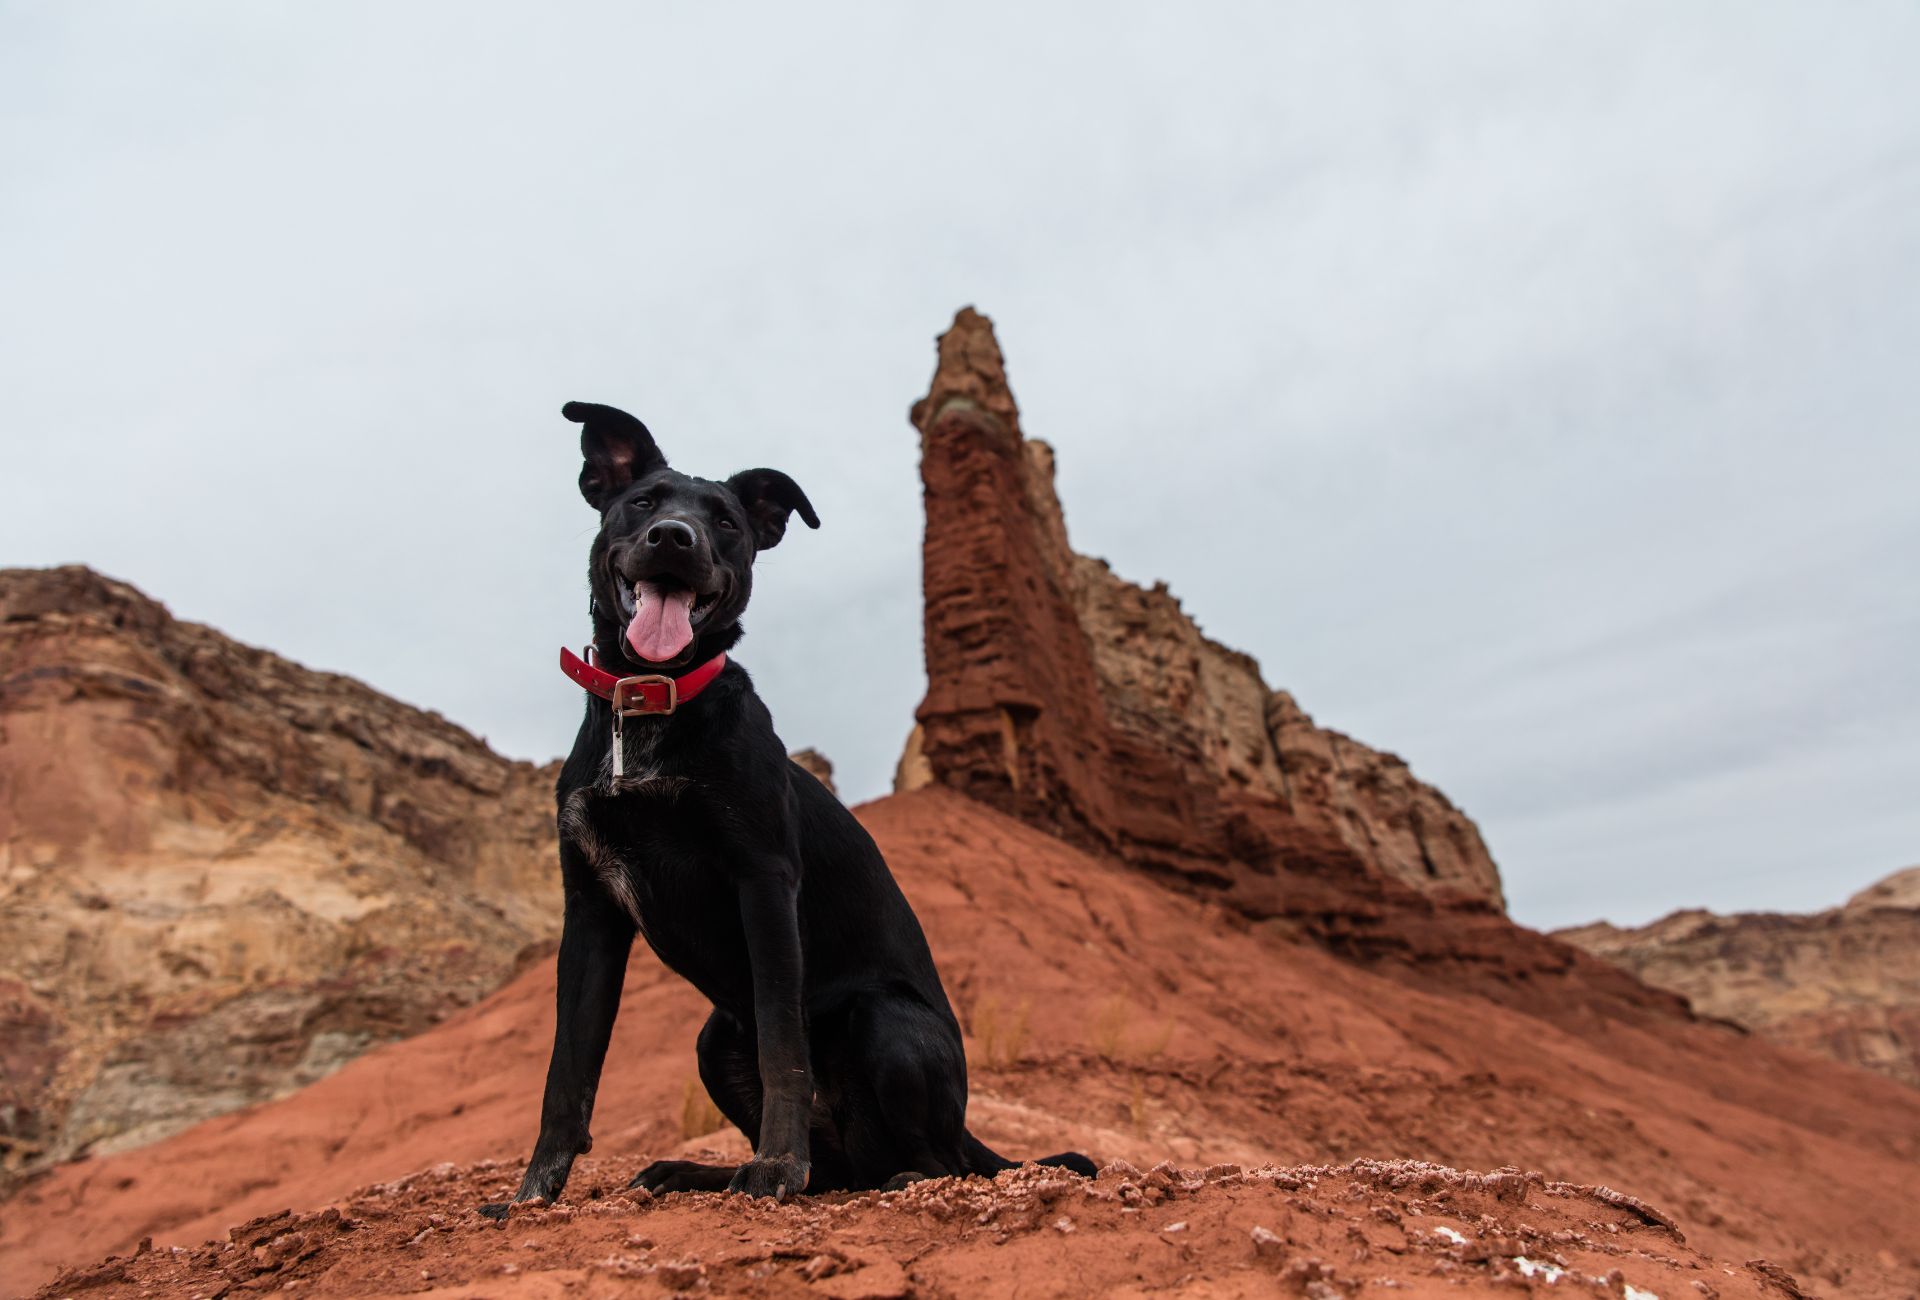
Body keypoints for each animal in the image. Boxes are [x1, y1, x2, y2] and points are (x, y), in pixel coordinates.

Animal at [480, 401, 1098, 1213]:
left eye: (726, 522)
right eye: (642, 503)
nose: (673, 539)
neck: (651, 706)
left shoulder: (763, 880)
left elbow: (782, 1045)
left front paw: (774, 1167)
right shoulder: (590, 910)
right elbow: (567, 1073)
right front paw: (531, 1197)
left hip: (883, 1020)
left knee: (933, 1162)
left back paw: (893, 1177)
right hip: (716, 1038)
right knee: (836, 1170)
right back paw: (694, 1173)